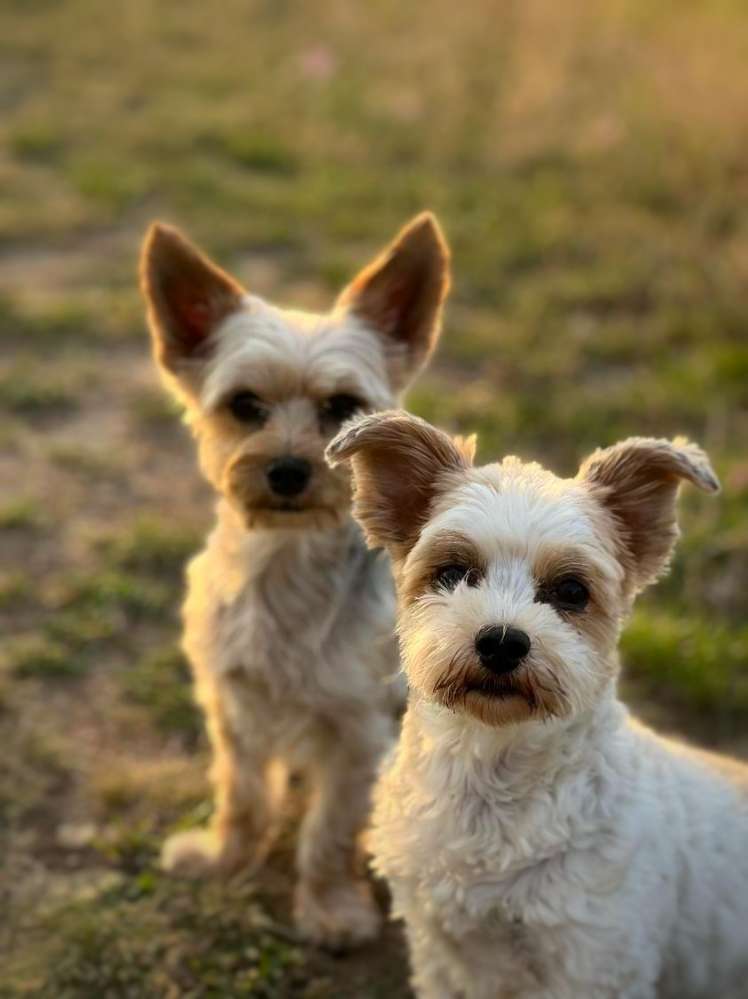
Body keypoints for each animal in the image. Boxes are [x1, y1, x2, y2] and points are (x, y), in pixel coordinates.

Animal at [140, 211, 450, 944]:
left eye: (342, 406)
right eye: (245, 405)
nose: (286, 470)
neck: (285, 562)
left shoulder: (357, 732)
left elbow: (329, 830)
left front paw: (330, 907)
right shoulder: (233, 704)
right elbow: (242, 795)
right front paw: (224, 859)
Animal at [330, 408, 748, 999]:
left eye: (572, 591)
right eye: (453, 572)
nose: (502, 641)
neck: (491, 791)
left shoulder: (595, 963)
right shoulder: (442, 954)